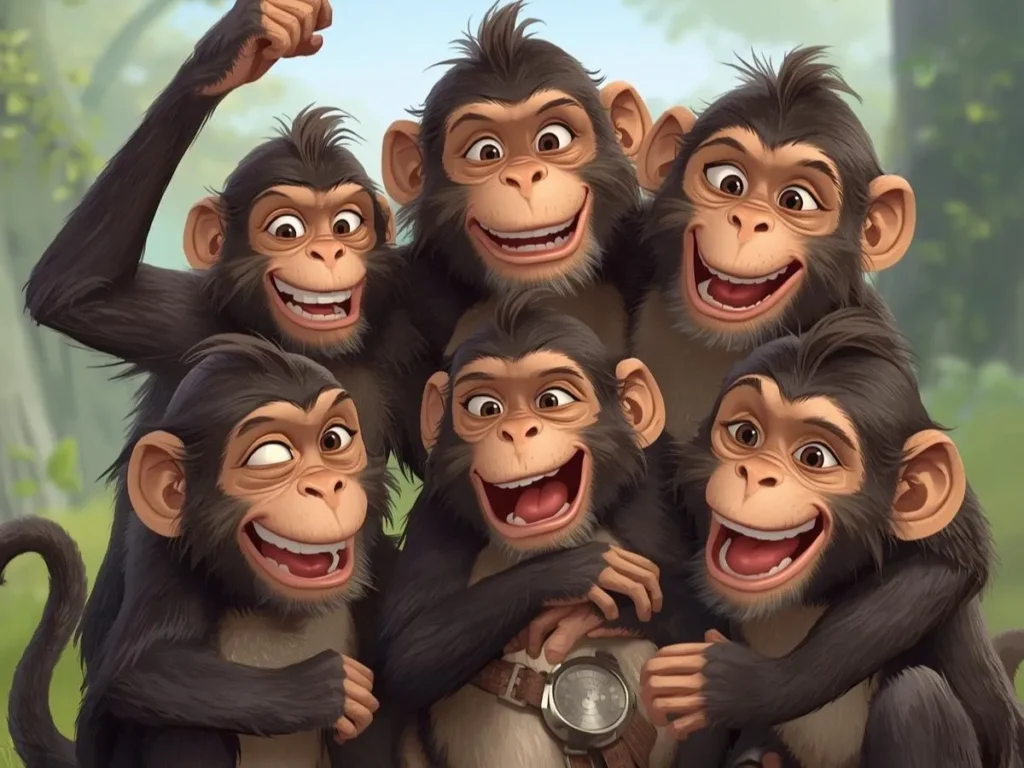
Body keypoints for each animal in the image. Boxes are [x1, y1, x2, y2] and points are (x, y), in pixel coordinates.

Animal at [7, 335, 398, 768]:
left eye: (334, 441)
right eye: (272, 456)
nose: (327, 486)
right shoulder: (163, 559)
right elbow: (137, 667)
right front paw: (329, 687)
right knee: (183, 723)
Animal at [23, 0, 432, 688]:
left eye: (345, 224)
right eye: (287, 229)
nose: (327, 251)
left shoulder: (402, 340)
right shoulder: (186, 319)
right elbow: (72, 292)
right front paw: (237, 46)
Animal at [377, 297, 730, 768]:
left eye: (551, 400)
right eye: (485, 408)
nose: (516, 431)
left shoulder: (659, 480)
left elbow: (716, 620)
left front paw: (593, 611)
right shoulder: (439, 515)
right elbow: (406, 655)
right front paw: (584, 573)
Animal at [638, 308, 1024, 768]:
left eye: (814, 457)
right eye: (746, 434)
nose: (755, 474)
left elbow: (947, 565)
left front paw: (742, 684)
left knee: (916, 701)